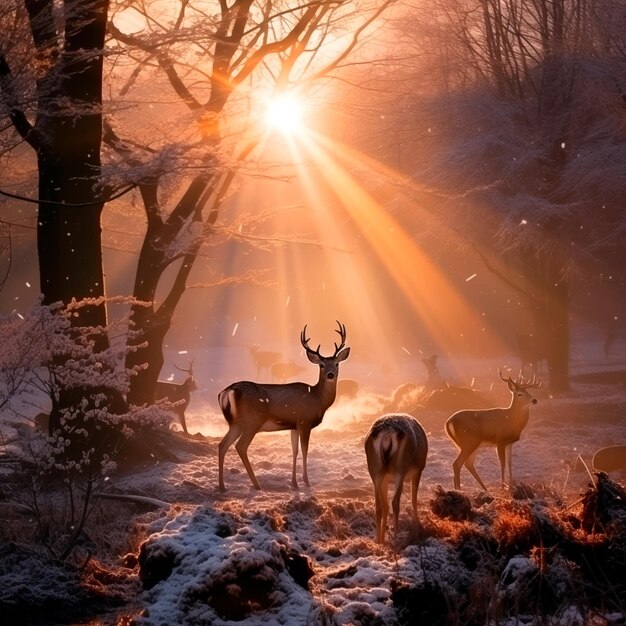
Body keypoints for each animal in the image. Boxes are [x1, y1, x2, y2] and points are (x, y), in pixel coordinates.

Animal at [217, 320, 348, 490]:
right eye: (321, 365)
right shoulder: (305, 422)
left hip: (236, 423)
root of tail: (227, 391)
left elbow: (295, 451)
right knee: (240, 446)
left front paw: (294, 483)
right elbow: (305, 451)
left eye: (337, 364)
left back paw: (222, 486)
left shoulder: (294, 425)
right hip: (252, 421)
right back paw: (256, 485)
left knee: (222, 445)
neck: (317, 399)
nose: (330, 374)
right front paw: (307, 482)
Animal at [364, 410, 426, 540]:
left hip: (376, 472)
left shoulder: (386, 480)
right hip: (399, 471)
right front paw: (417, 523)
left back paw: (379, 540)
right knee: (395, 502)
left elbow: (385, 506)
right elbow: (414, 499)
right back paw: (396, 536)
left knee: (380, 506)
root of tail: (387, 434)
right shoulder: (419, 470)